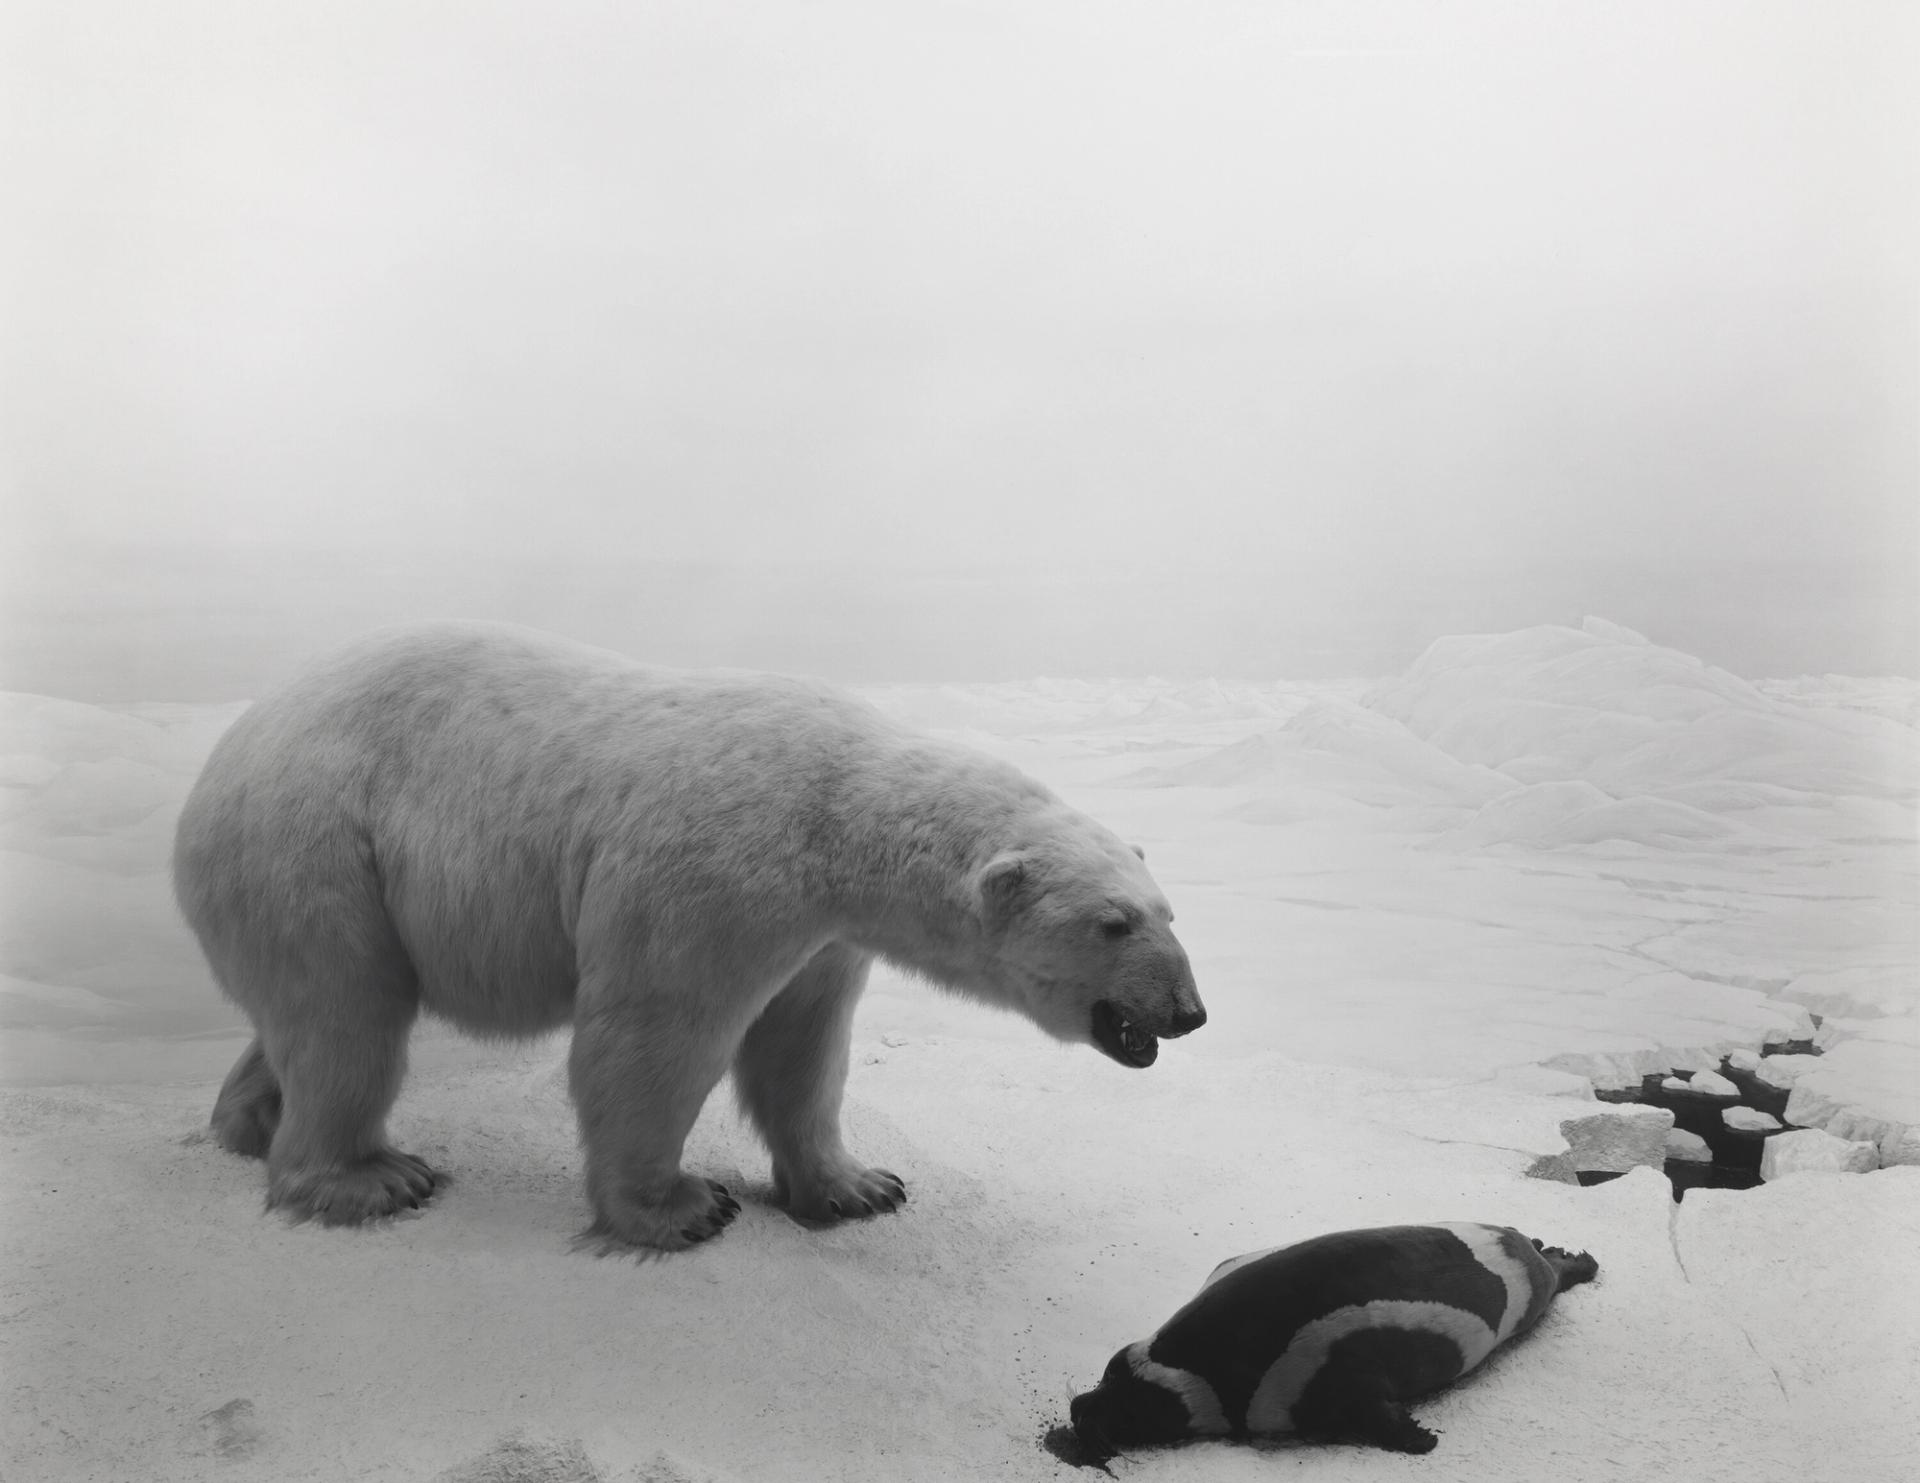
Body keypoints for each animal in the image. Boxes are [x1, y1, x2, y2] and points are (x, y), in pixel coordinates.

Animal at [173, 621, 1205, 1251]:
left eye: (1168, 910)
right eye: (1112, 923)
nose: (1189, 1011)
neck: (839, 814)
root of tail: (222, 755)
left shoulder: (823, 934)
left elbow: (804, 1049)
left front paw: (859, 1185)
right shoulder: (717, 871)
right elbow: (656, 1032)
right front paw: (680, 1207)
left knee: (309, 1014)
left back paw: (248, 1122)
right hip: (317, 845)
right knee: (348, 1014)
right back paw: (369, 1177)